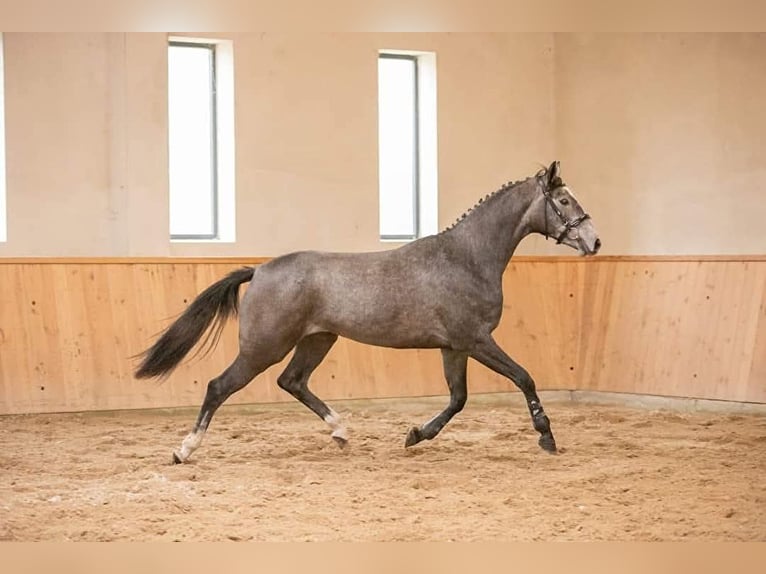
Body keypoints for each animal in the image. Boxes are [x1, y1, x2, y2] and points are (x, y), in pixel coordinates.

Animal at [135, 161, 601, 463]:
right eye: (563, 200)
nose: (594, 241)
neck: (467, 257)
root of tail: (261, 269)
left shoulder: (454, 347)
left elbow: (458, 399)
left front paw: (415, 435)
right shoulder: (476, 340)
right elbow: (524, 377)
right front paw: (547, 437)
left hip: (317, 340)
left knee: (292, 381)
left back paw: (341, 432)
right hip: (264, 347)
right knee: (219, 386)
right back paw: (184, 450)